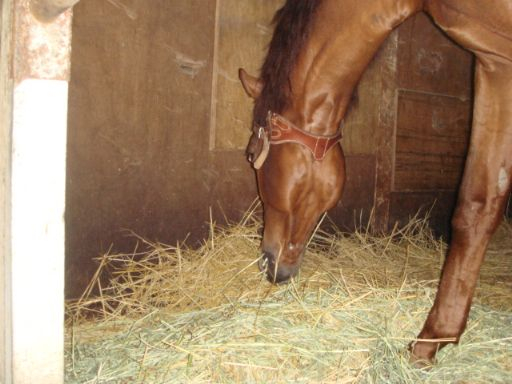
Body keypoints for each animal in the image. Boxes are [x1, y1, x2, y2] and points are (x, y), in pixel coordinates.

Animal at [240, 0, 512, 364]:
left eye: (252, 156)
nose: (269, 266)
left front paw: (428, 339)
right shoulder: (496, 64)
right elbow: (478, 207)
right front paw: (440, 337)